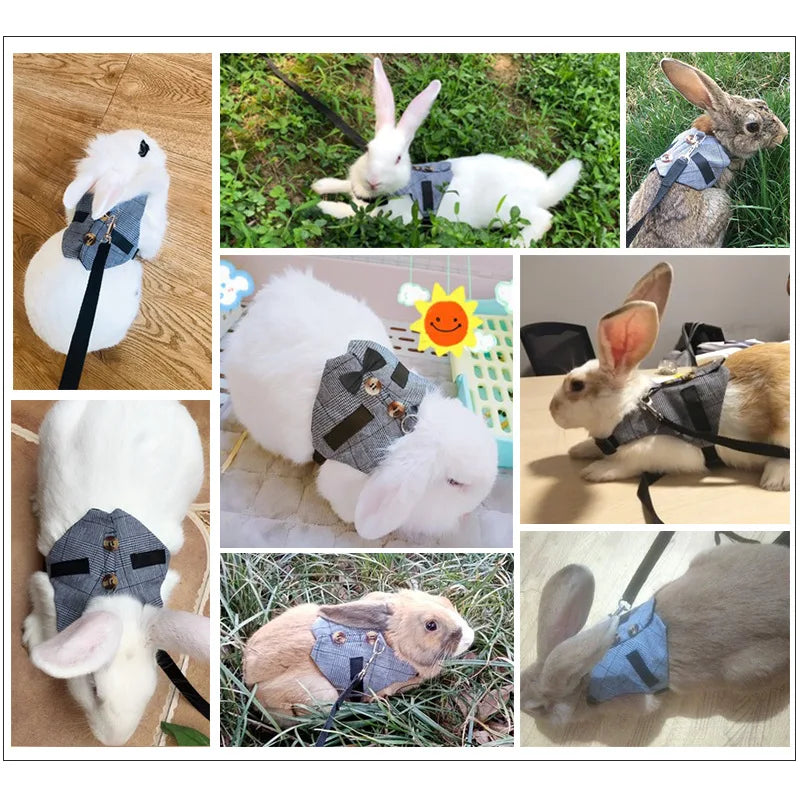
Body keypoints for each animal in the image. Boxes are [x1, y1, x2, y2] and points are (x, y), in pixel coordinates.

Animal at [22, 399, 209, 746]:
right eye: (94, 687)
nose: (114, 741)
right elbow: (38, 599)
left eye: (149, 690)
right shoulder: (46, 584)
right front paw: (33, 636)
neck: (114, 590)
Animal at [243, 589, 474, 716]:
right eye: (431, 625)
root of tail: (249, 675)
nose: (469, 637)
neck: (395, 644)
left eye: (444, 601)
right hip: (321, 695)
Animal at [311, 58, 582, 246]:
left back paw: (514, 242)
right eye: (368, 149)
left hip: (510, 210)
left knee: (544, 219)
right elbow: (344, 185)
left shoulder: (389, 216)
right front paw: (320, 185)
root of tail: (544, 189)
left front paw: (325, 207)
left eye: (398, 158)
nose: (373, 181)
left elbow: (354, 214)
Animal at [549, 262, 790, 491]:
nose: (552, 410)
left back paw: (775, 479)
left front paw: (596, 471)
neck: (630, 412)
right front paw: (578, 449)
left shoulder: (662, 453)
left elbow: (626, 464)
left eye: (577, 385)